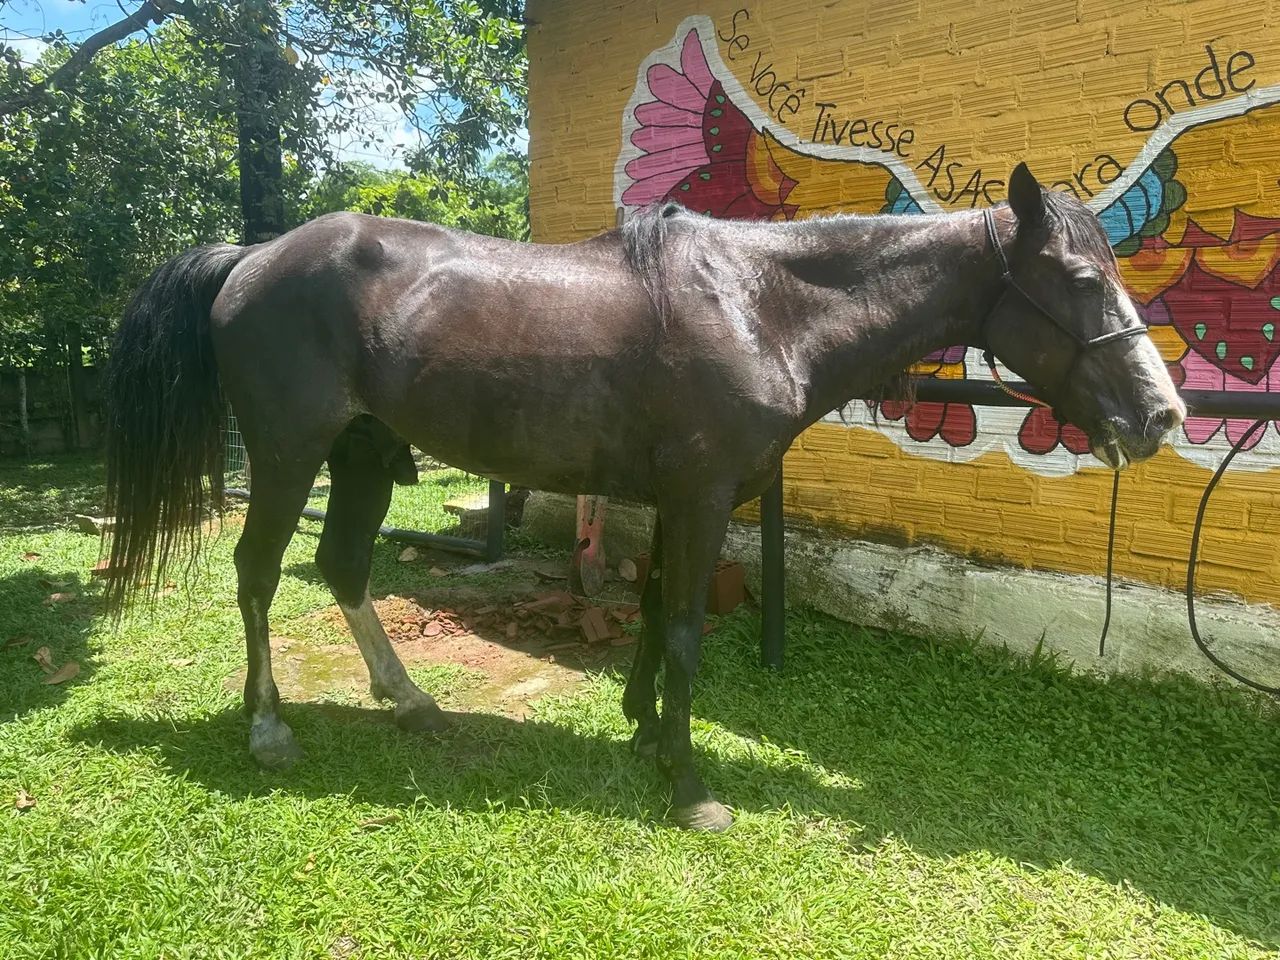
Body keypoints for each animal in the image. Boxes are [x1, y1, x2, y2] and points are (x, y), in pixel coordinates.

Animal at [102, 163, 1184, 832]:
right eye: (1076, 277)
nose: (1162, 414)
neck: (764, 308)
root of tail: (250, 257)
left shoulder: (681, 497)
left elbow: (661, 609)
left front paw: (644, 729)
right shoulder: (702, 496)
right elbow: (686, 634)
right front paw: (689, 782)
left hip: (364, 454)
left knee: (340, 566)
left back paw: (411, 703)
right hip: (291, 456)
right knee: (256, 574)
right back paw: (269, 729)